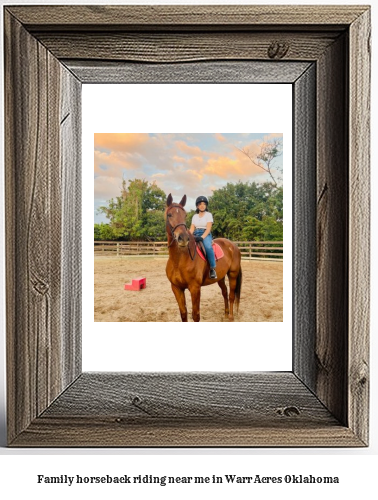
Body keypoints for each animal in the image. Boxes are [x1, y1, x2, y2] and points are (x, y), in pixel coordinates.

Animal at [165, 193, 242, 322]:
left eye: (185, 215)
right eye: (169, 215)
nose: (183, 238)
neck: (179, 260)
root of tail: (233, 246)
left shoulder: (195, 288)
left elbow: (196, 315)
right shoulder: (176, 288)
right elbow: (183, 313)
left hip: (233, 274)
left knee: (231, 295)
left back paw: (231, 316)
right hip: (220, 277)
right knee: (225, 292)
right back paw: (226, 314)